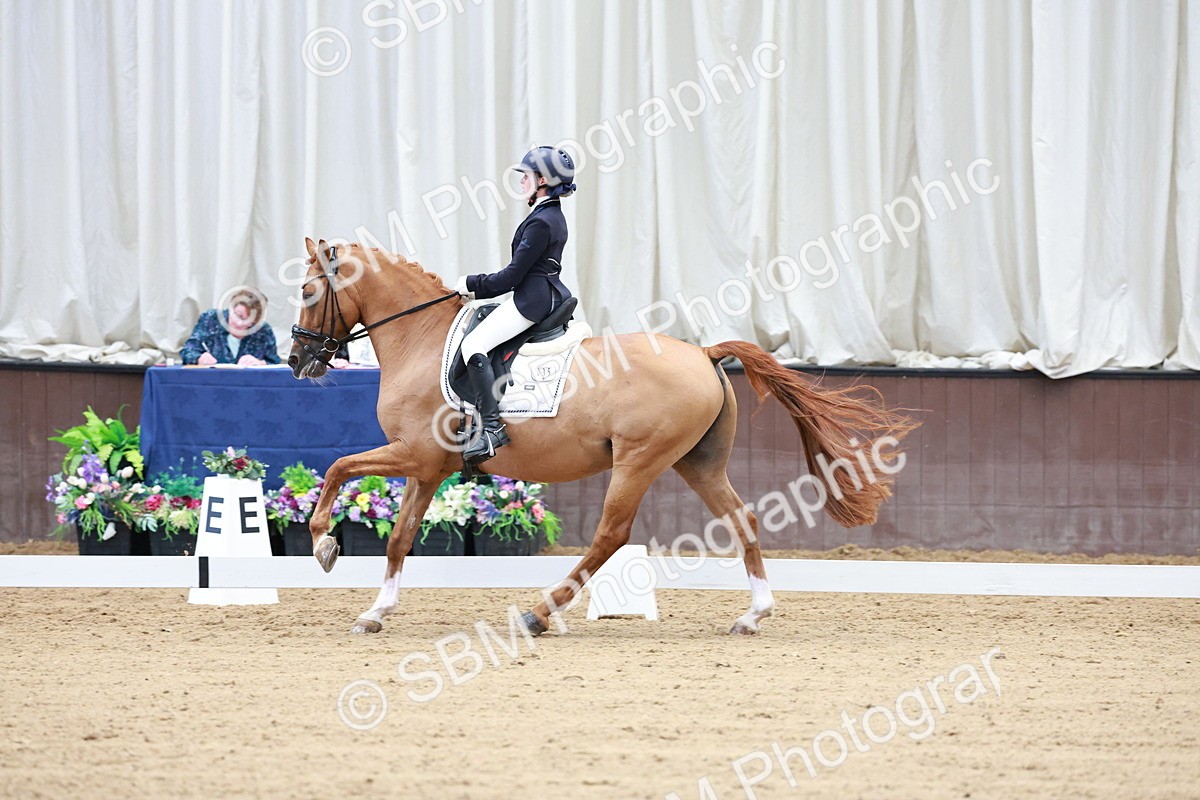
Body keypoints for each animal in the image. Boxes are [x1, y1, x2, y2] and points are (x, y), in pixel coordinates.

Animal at [288, 238, 916, 635]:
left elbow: (340, 467)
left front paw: (322, 546)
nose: (297, 361)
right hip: (698, 462)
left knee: (611, 535)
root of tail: (704, 352)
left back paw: (539, 613)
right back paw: (753, 615)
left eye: (309, 293)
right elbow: (398, 540)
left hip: (639, 460)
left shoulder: (413, 455)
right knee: (743, 520)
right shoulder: (428, 468)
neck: (419, 339)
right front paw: (374, 613)